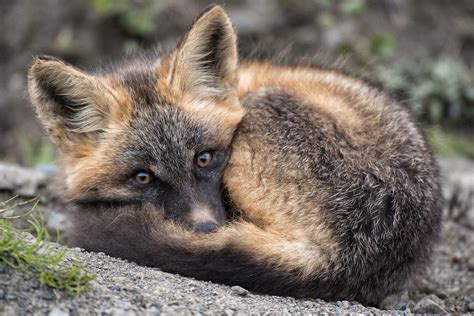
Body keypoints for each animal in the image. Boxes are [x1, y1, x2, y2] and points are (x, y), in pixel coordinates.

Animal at [27, 4, 442, 306]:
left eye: (204, 158)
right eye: (142, 177)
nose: (205, 230)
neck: (238, 86)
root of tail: (342, 259)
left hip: (264, 111)